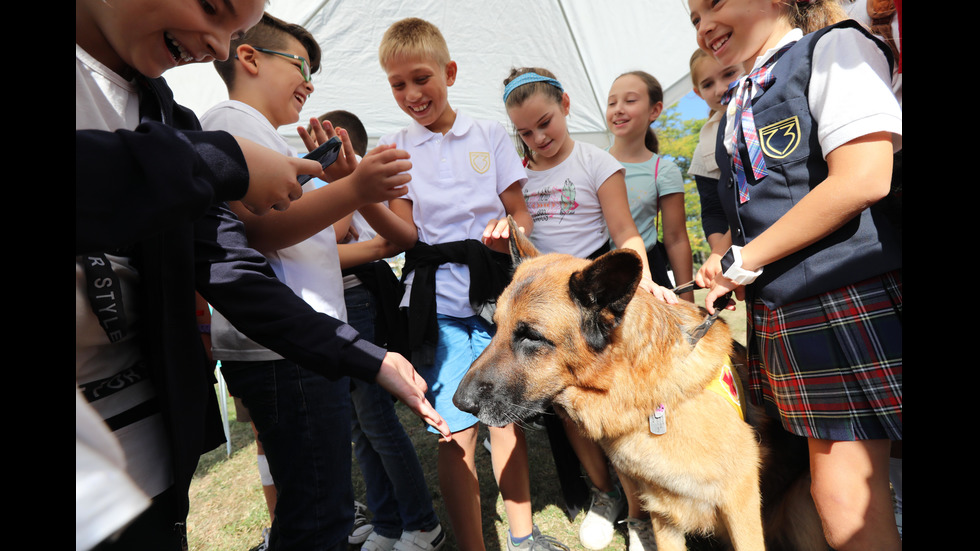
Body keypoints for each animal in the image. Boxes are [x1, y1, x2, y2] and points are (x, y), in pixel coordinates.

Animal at [452, 219, 828, 551]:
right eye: (495, 326)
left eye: (531, 336)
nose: (458, 403)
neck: (643, 393)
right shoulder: (664, 513)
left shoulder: (740, 505)